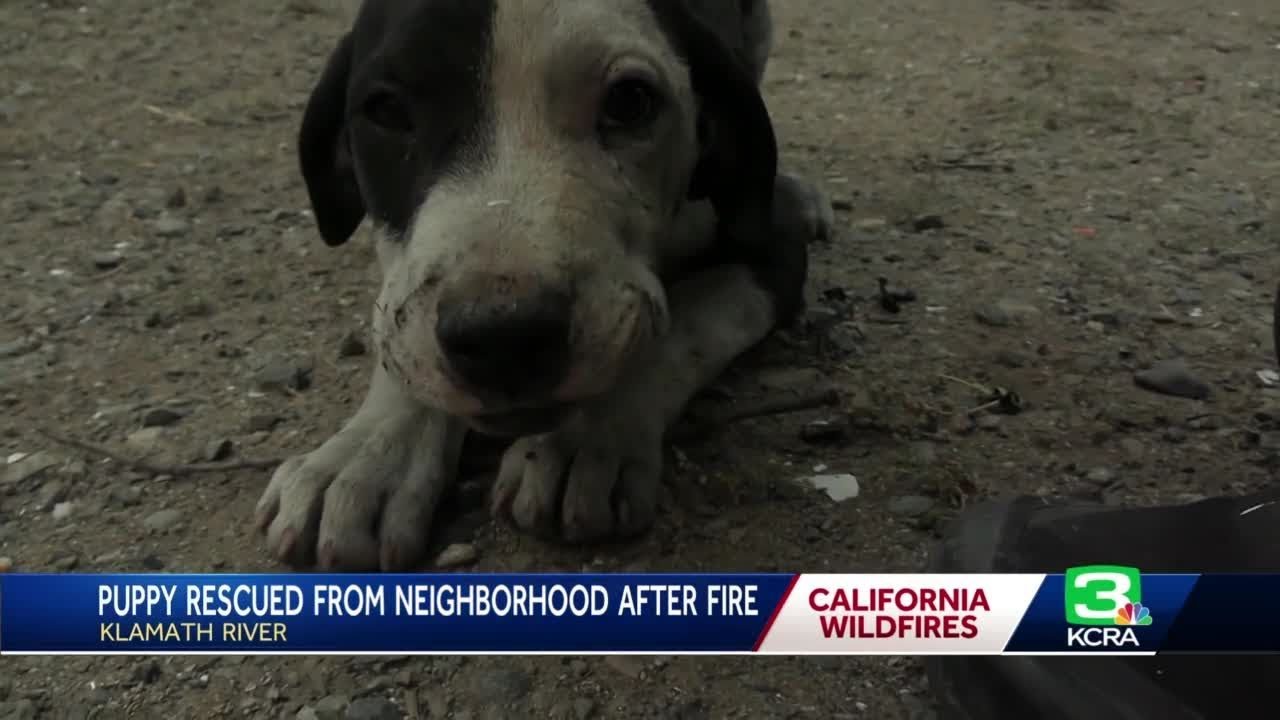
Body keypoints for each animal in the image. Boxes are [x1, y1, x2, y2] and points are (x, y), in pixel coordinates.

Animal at [254, 0, 834, 568]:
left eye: (631, 102)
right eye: (387, 111)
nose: (503, 339)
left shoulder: (771, 251)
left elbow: (679, 327)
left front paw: (591, 438)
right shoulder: (409, 289)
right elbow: (399, 330)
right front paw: (363, 458)